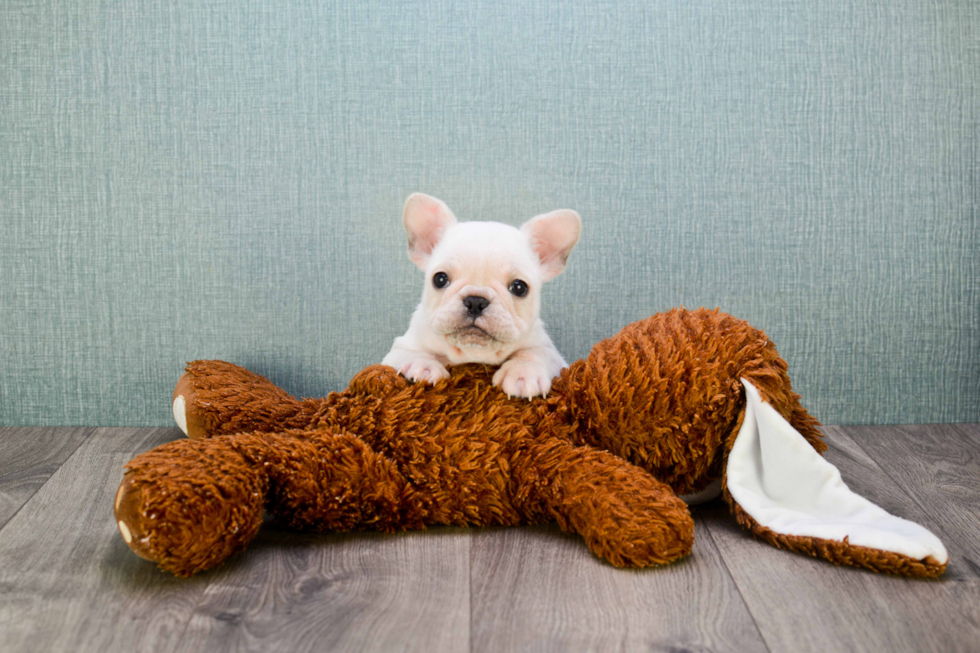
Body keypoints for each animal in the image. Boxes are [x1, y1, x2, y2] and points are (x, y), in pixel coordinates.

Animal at [382, 192, 580, 398]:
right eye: (440, 279)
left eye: (519, 288)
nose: (476, 301)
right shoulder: (400, 347)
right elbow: (410, 352)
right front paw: (422, 366)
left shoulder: (552, 354)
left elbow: (535, 353)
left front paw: (523, 373)